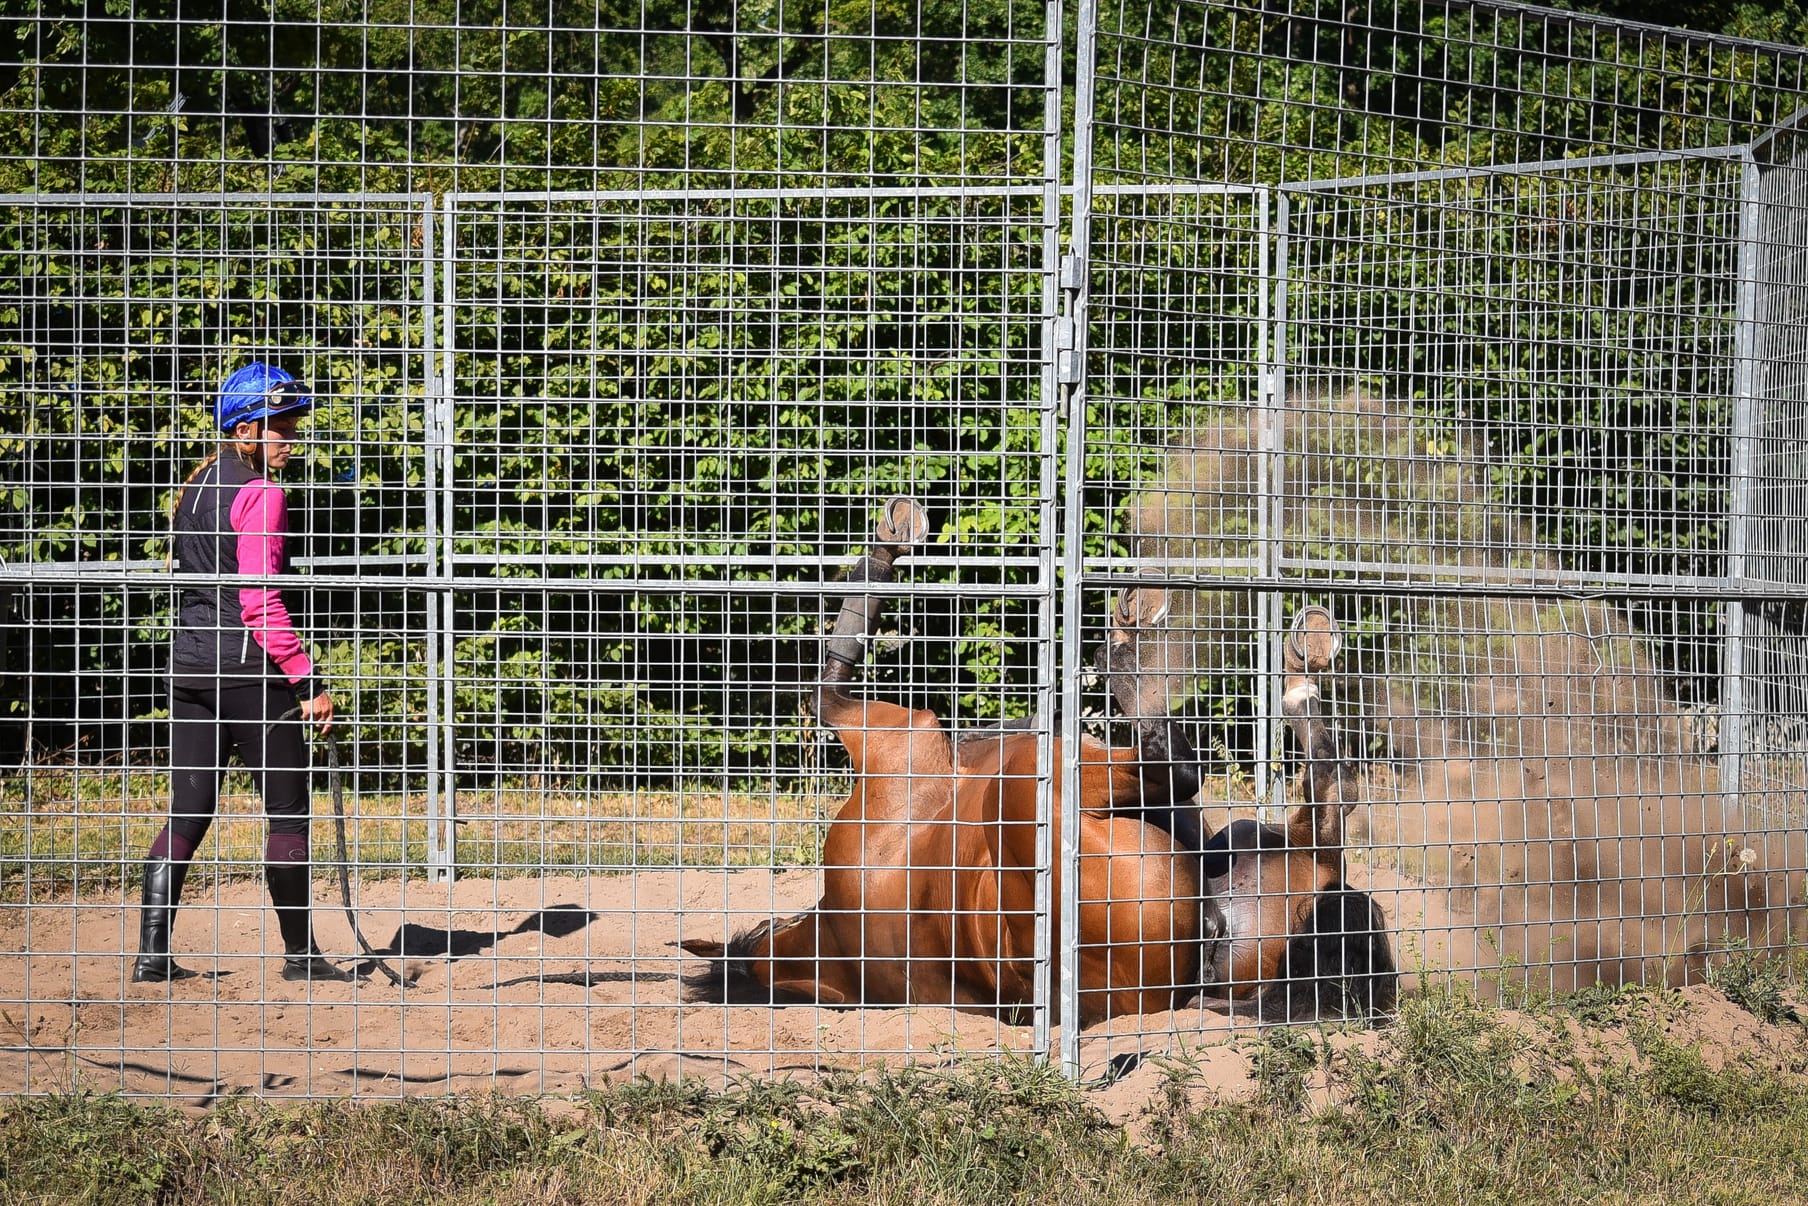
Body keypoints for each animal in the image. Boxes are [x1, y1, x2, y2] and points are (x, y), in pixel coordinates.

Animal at [681, 497, 1396, 1025]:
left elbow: (829, 681)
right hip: (1108, 805)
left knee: (1300, 801)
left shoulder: (888, 737)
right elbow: (826, 689)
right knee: (1263, 794)